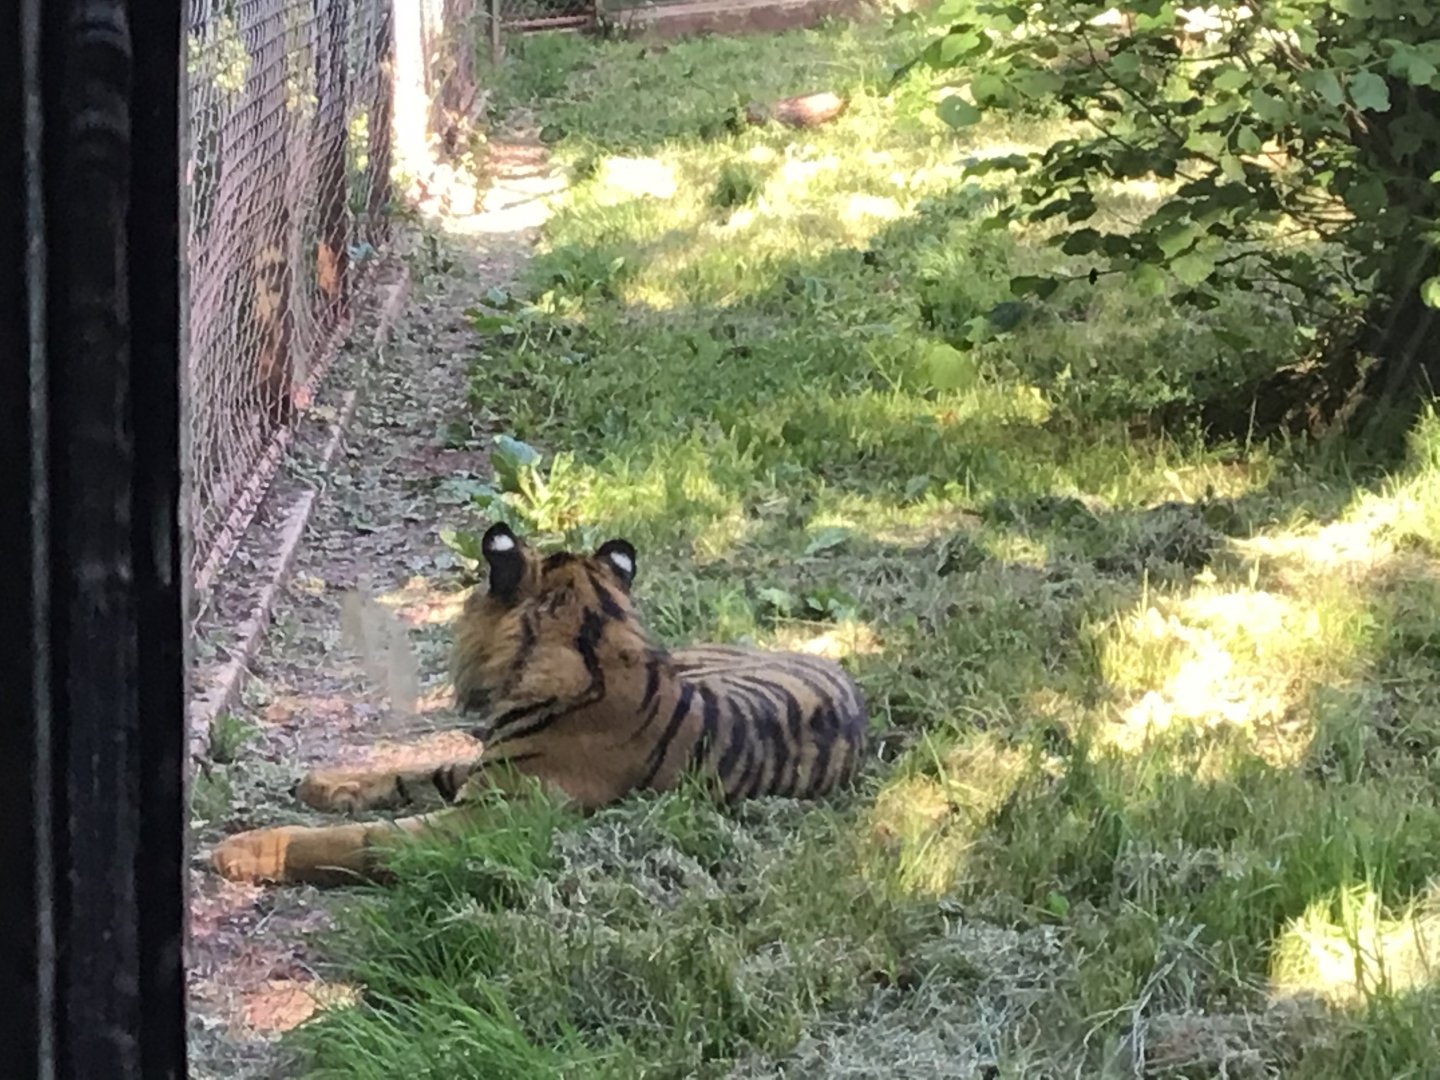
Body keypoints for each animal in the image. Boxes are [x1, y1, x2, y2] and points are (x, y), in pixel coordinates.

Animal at [210, 522, 870, 886]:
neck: (592, 637)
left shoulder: (482, 818)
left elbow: (355, 840)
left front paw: (245, 849)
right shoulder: (486, 776)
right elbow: (412, 770)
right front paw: (325, 783)